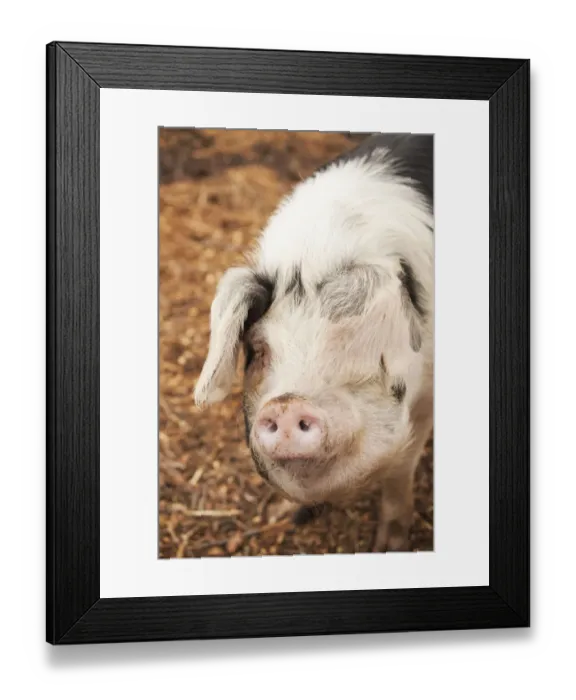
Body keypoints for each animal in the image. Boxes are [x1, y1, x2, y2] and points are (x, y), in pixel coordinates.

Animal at [194, 133, 434, 552]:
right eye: (259, 350)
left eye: (359, 344)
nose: (287, 403)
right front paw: (284, 516)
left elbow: (399, 473)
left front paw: (388, 546)